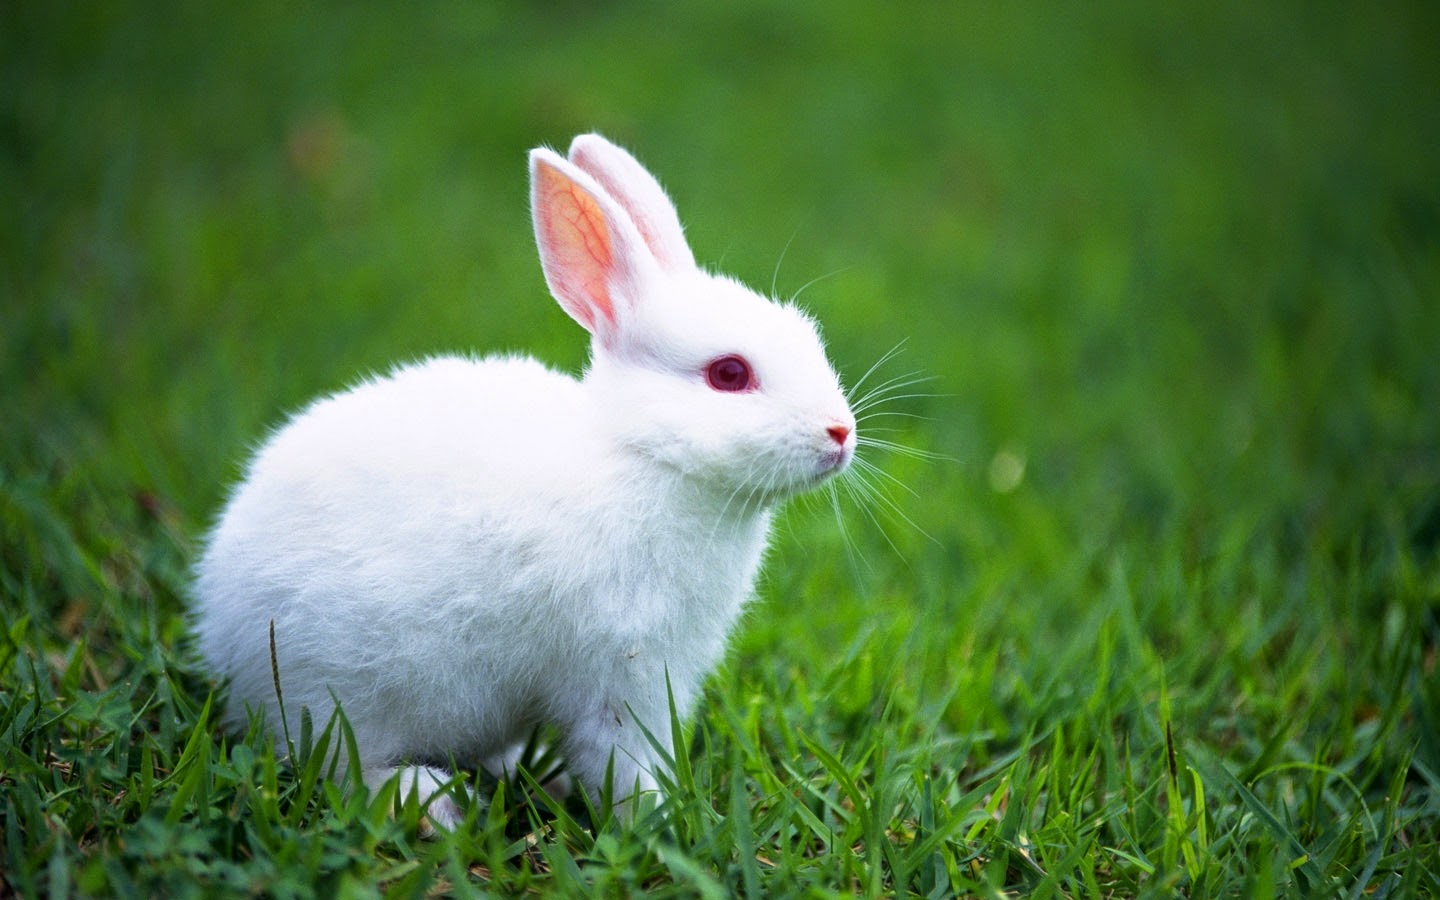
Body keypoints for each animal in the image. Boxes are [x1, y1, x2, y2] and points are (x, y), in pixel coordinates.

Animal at [193, 133, 857, 829]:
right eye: (729, 374)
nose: (840, 433)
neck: (644, 456)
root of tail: (221, 633)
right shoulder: (622, 675)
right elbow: (624, 761)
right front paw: (659, 822)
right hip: (343, 691)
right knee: (342, 766)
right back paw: (431, 802)